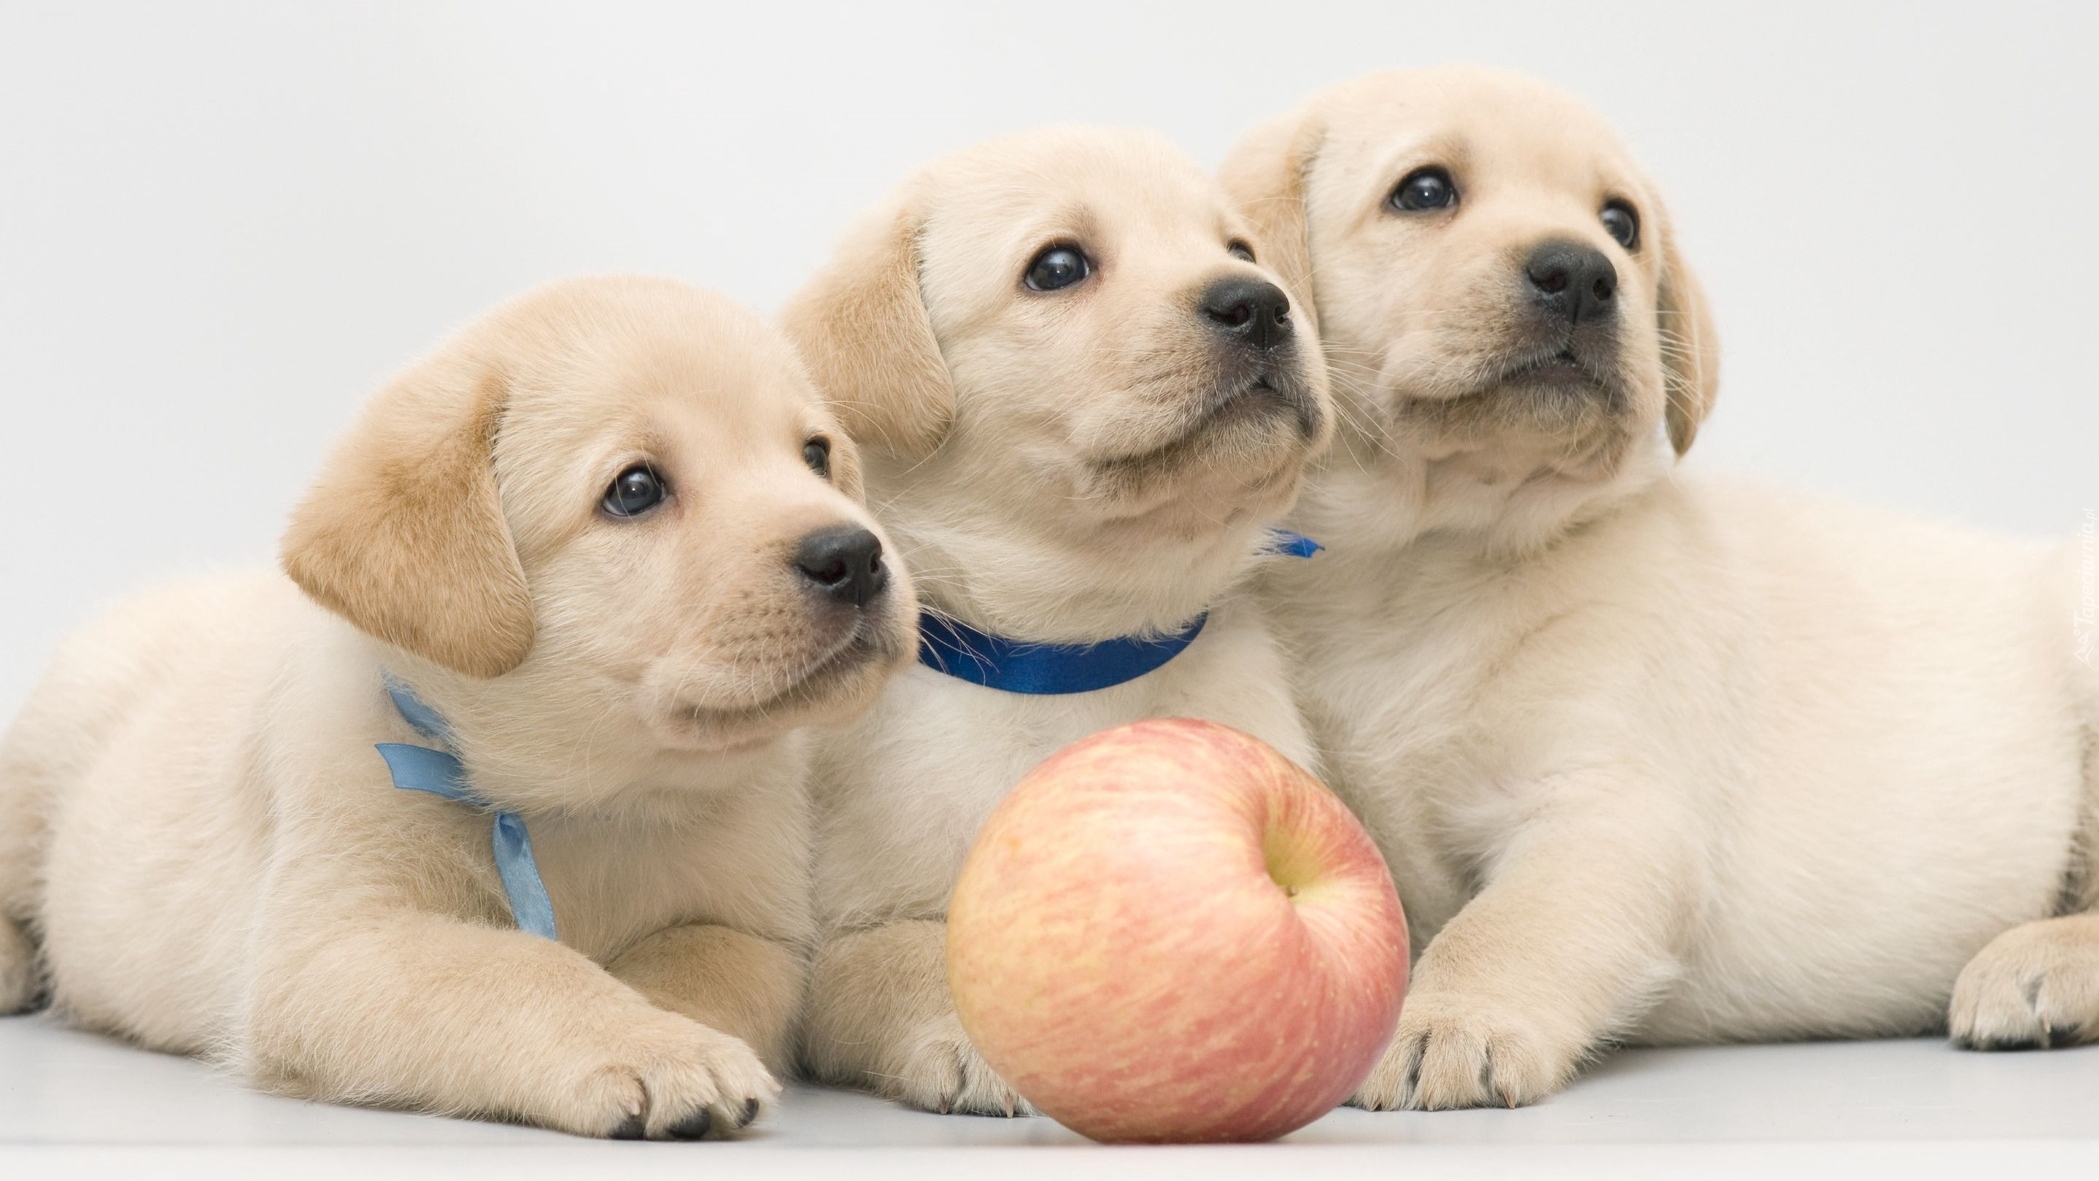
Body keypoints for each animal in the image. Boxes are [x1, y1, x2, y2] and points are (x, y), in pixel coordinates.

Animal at [0, 274, 919, 1132]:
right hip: (34, 770)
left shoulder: (748, 929)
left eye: (815, 454)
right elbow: (514, 968)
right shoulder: (332, 944)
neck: (584, 798)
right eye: (634, 489)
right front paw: (651, 1045)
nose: (855, 555)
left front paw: (671, 1027)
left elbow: (692, 964)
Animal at [780, 126, 1334, 1115]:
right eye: (1059, 267)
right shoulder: (832, 944)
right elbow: (909, 951)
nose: (1262, 303)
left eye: (1240, 250)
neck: (1078, 652)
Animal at [1225, 69, 2099, 1115]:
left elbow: (1507, 921)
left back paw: (2039, 963)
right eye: (1424, 191)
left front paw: (1446, 1018)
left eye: (1619, 223)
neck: (1416, 557)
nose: (1581, 272)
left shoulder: (1608, 806)